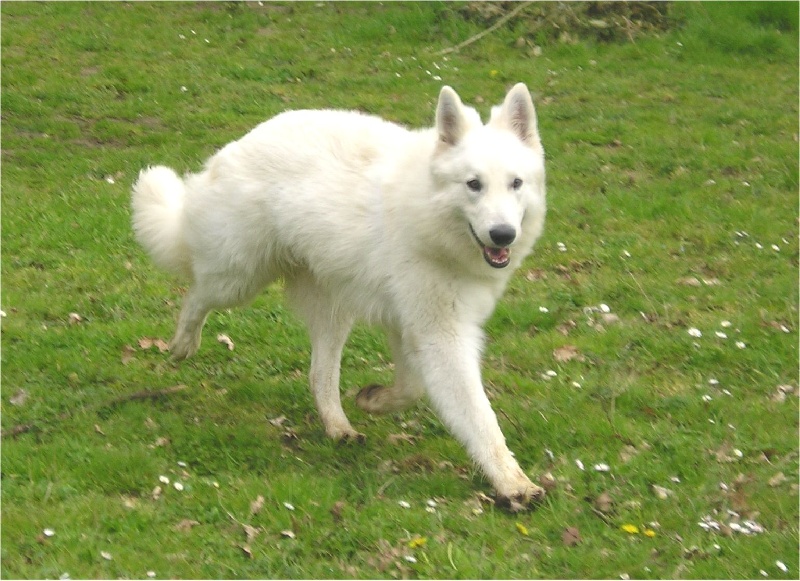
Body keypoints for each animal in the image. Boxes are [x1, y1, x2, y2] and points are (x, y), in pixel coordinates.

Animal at [136, 82, 552, 508]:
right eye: (473, 184)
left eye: (516, 183)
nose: (503, 235)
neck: (431, 215)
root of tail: (247, 139)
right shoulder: (439, 335)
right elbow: (479, 418)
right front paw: (513, 482)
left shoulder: (412, 327)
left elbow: (411, 388)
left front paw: (374, 399)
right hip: (237, 279)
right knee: (196, 295)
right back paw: (183, 343)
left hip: (333, 311)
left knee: (319, 375)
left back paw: (338, 426)